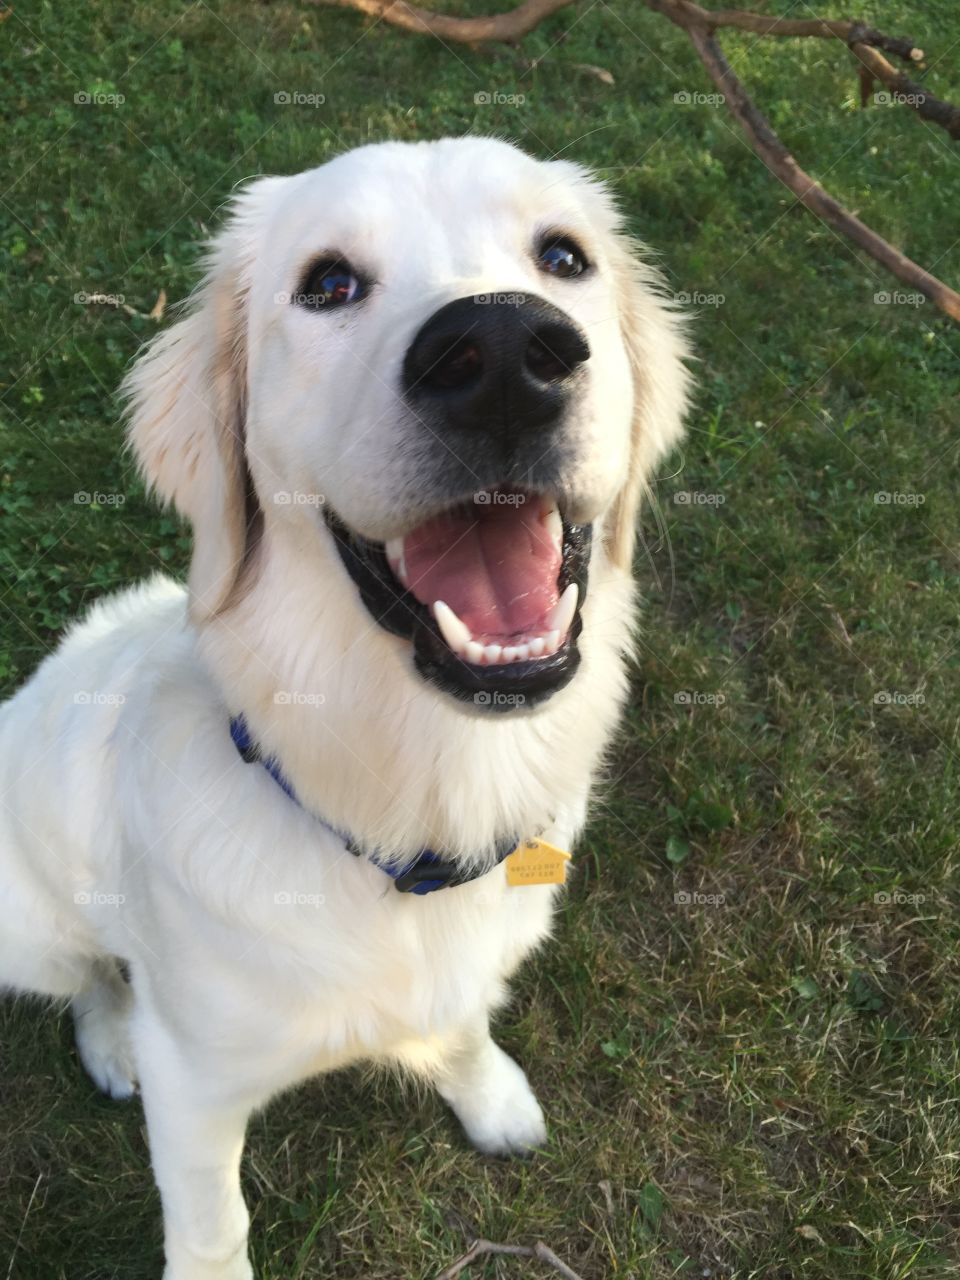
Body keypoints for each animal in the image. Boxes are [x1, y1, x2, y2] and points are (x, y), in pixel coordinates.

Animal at [0, 135, 691, 1274]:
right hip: (31, 923)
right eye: (327, 284)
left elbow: (465, 1023)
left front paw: (489, 1094)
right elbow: (212, 1220)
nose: (506, 353)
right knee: (93, 977)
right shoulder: (196, 1083)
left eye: (563, 256)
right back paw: (109, 1041)